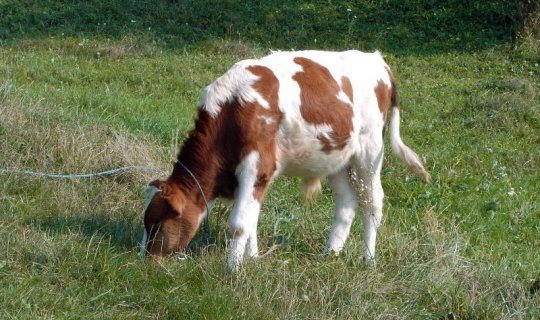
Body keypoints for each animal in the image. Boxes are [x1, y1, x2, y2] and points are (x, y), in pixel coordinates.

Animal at [140, 50, 430, 270]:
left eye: (156, 223)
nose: (144, 260)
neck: (233, 109)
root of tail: (378, 60)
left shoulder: (257, 166)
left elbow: (239, 224)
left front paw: (232, 269)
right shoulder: (258, 175)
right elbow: (251, 219)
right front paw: (253, 258)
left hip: (369, 153)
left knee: (373, 203)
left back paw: (368, 259)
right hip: (338, 157)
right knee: (347, 204)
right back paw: (330, 254)